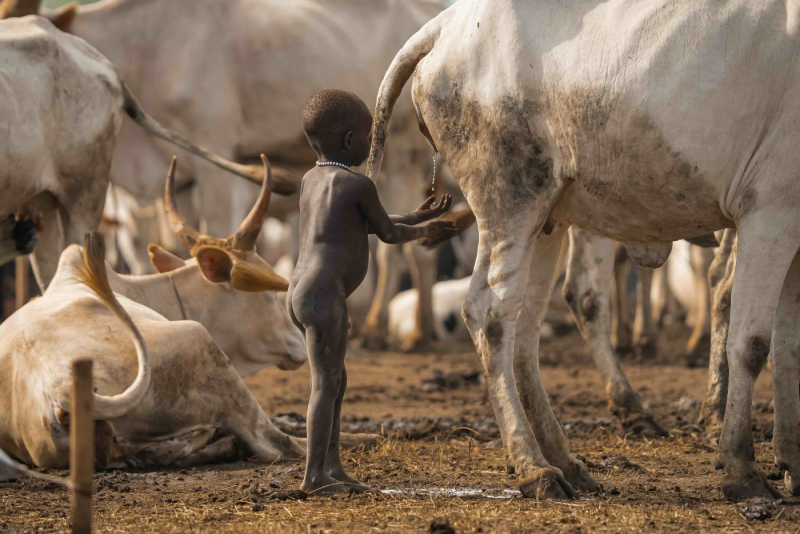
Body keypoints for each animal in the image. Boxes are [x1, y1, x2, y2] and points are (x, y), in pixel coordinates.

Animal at [368, 0, 800, 504]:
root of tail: (444, 24)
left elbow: (788, 348)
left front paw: (792, 462)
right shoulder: (769, 209)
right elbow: (752, 344)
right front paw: (741, 469)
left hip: (548, 218)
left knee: (525, 330)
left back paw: (565, 461)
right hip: (510, 201)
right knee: (492, 316)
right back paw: (534, 467)